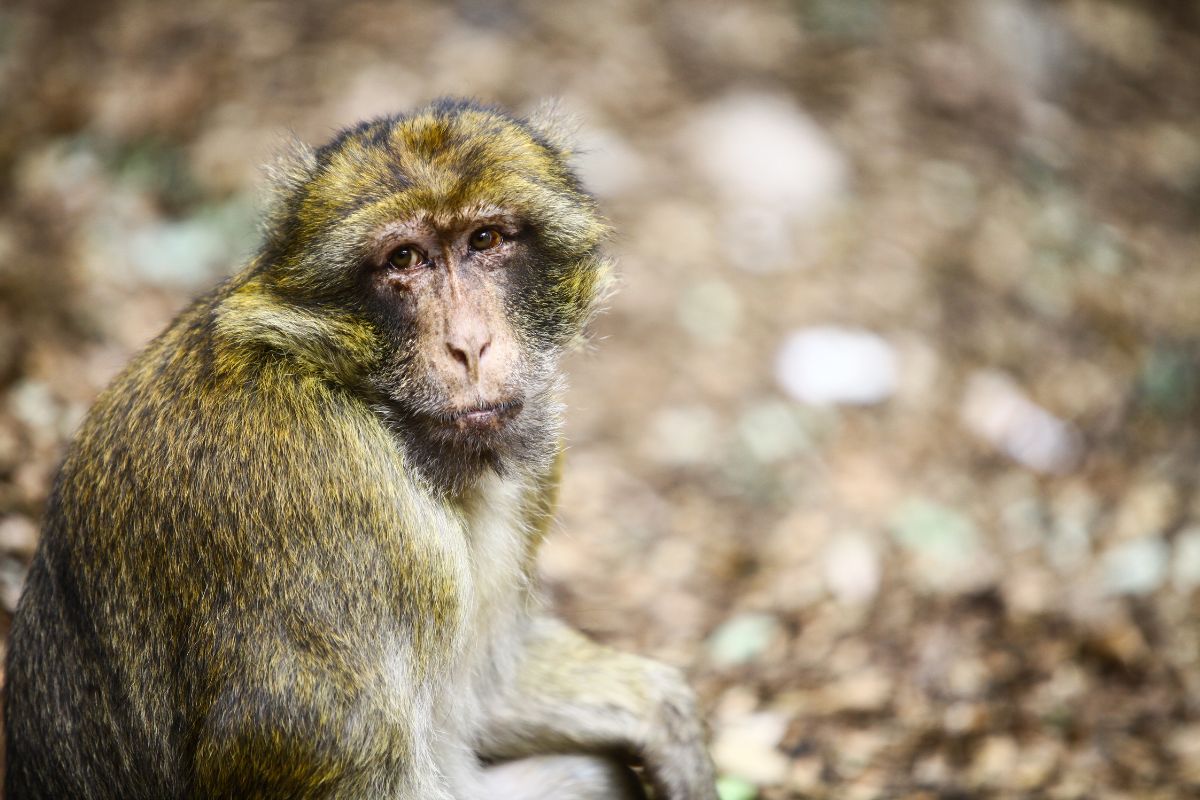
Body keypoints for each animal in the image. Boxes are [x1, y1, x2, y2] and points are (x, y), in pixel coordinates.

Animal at [2, 100, 710, 800]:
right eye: (404, 258)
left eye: (485, 241)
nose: (469, 345)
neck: (369, 404)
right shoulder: (324, 491)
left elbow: (486, 688)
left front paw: (663, 713)